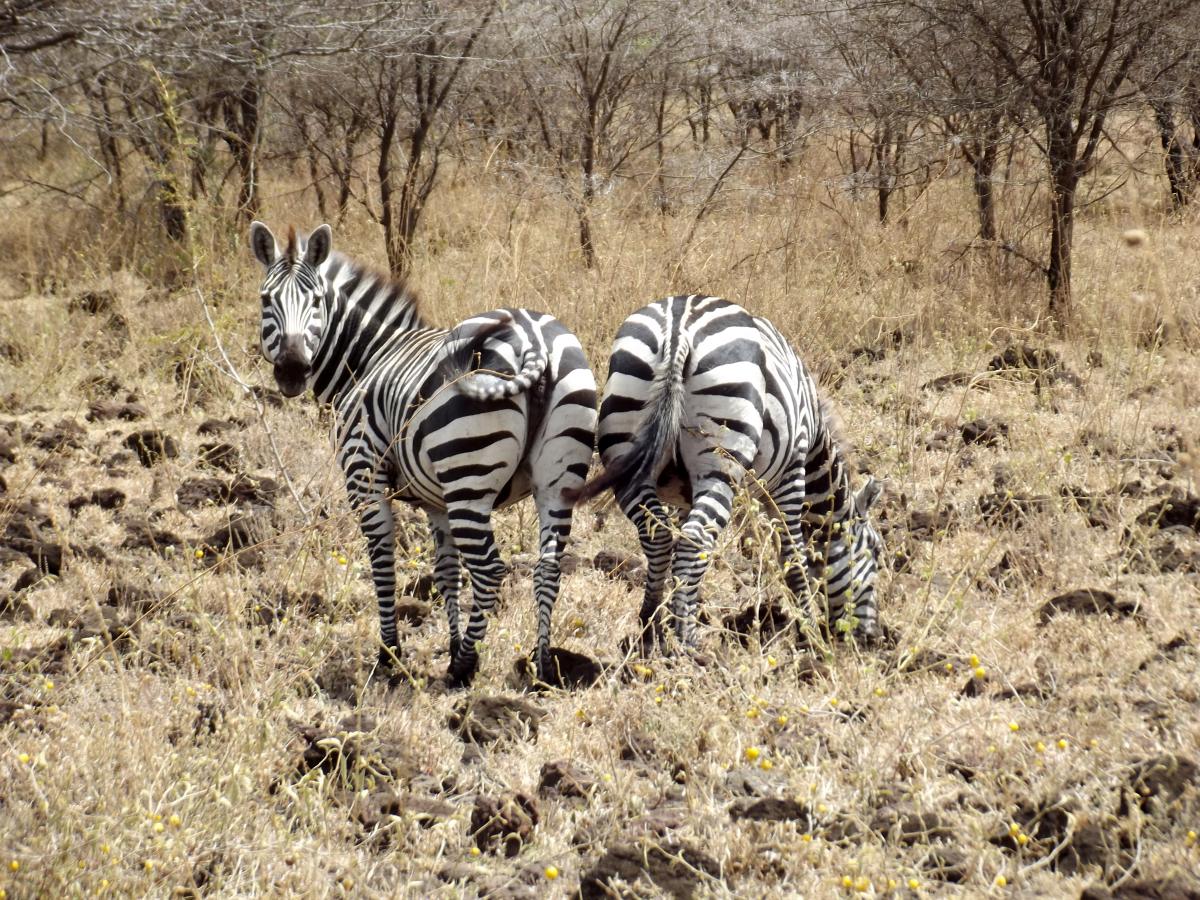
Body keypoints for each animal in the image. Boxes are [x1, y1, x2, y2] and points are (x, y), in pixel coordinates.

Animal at [249, 224, 600, 681]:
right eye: (265, 299)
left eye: (316, 302)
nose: (291, 370)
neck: (370, 358)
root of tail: (534, 340)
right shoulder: (436, 500)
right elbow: (447, 571)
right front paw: (450, 644)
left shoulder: (364, 475)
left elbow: (382, 564)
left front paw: (390, 653)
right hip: (557, 479)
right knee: (548, 568)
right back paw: (539, 665)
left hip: (469, 473)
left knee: (489, 569)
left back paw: (465, 667)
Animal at [566, 300, 888, 652]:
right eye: (874, 552)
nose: (871, 637)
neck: (815, 433)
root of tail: (678, 331)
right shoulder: (791, 474)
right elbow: (793, 557)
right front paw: (809, 634)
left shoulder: (684, 496)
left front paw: (684, 608)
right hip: (720, 460)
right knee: (694, 540)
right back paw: (688, 641)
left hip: (627, 449)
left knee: (662, 537)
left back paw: (651, 630)